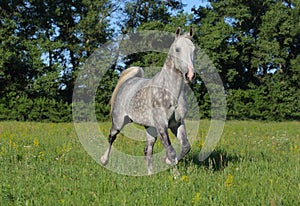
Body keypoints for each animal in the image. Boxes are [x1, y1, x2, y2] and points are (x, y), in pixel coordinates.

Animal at [99, 27, 196, 175]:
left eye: (193, 49)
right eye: (177, 49)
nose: (190, 75)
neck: (170, 92)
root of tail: (129, 81)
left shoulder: (177, 123)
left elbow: (186, 146)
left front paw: (167, 162)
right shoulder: (162, 125)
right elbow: (171, 151)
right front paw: (176, 175)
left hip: (150, 129)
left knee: (147, 150)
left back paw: (150, 174)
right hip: (119, 122)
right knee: (111, 137)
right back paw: (104, 161)